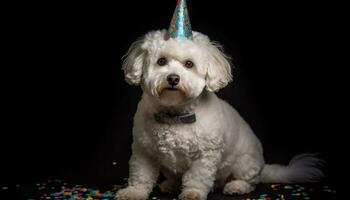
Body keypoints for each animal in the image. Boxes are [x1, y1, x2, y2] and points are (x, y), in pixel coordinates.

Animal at [116, 29, 324, 200]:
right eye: (161, 61)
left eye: (189, 64)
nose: (173, 78)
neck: (175, 115)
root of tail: (262, 166)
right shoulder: (143, 151)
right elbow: (141, 175)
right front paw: (134, 192)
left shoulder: (205, 156)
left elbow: (197, 177)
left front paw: (193, 193)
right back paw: (171, 184)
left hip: (244, 162)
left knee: (250, 182)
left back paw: (236, 186)